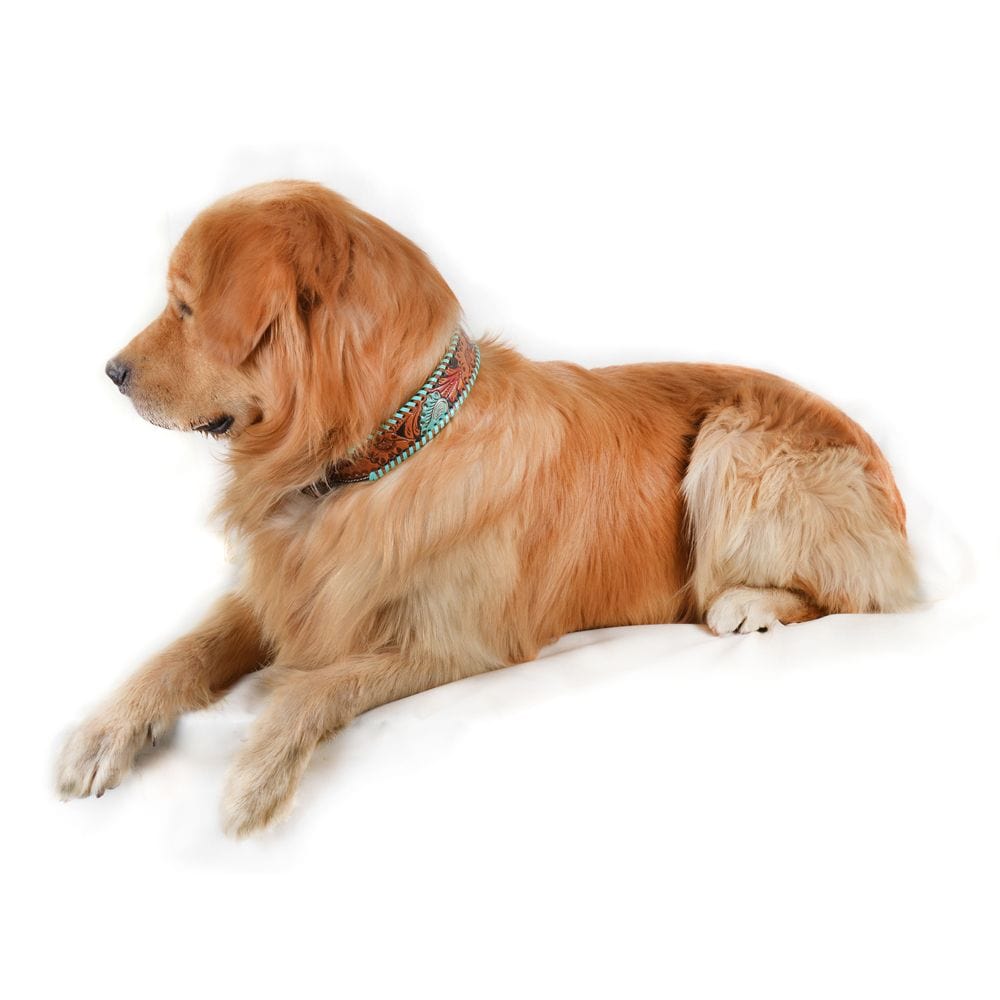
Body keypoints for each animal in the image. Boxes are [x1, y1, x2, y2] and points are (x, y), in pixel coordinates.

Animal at [56, 180, 918, 835]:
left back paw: (753, 603)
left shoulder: (457, 642)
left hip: (734, 445)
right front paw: (100, 734)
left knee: (866, 594)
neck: (376, 456)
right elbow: (177, 652)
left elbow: (310, 687)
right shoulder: (275, 595)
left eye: (185, 308)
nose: (110, 371)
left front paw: (252, 779)